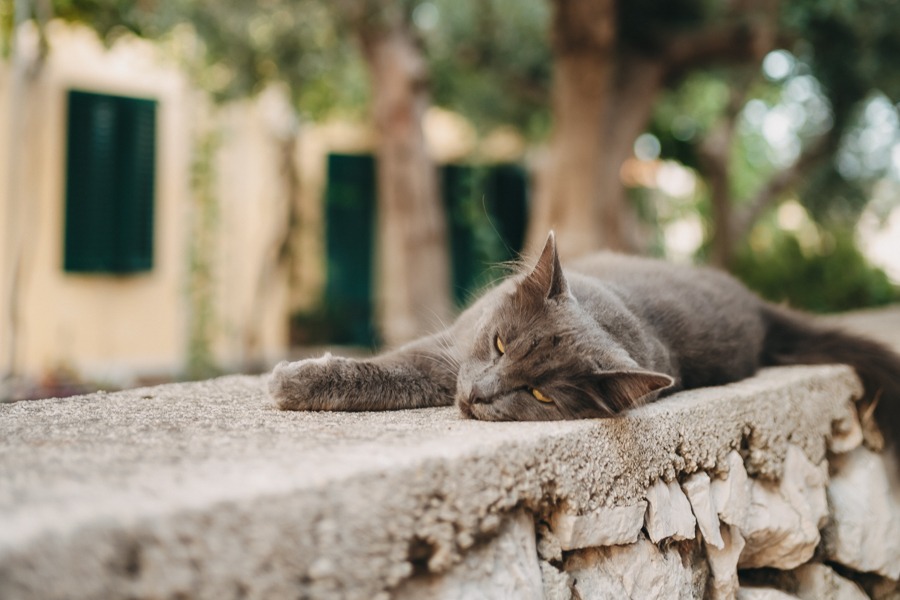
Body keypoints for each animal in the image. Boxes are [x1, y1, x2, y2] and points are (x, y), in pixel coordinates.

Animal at [268, 232, 900, 458]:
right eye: (500, 342)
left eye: (541, 396)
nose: (481, 395)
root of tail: (755, 304)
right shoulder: (448, 350)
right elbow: (387, 369)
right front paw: (297, 379)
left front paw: (291, 383)